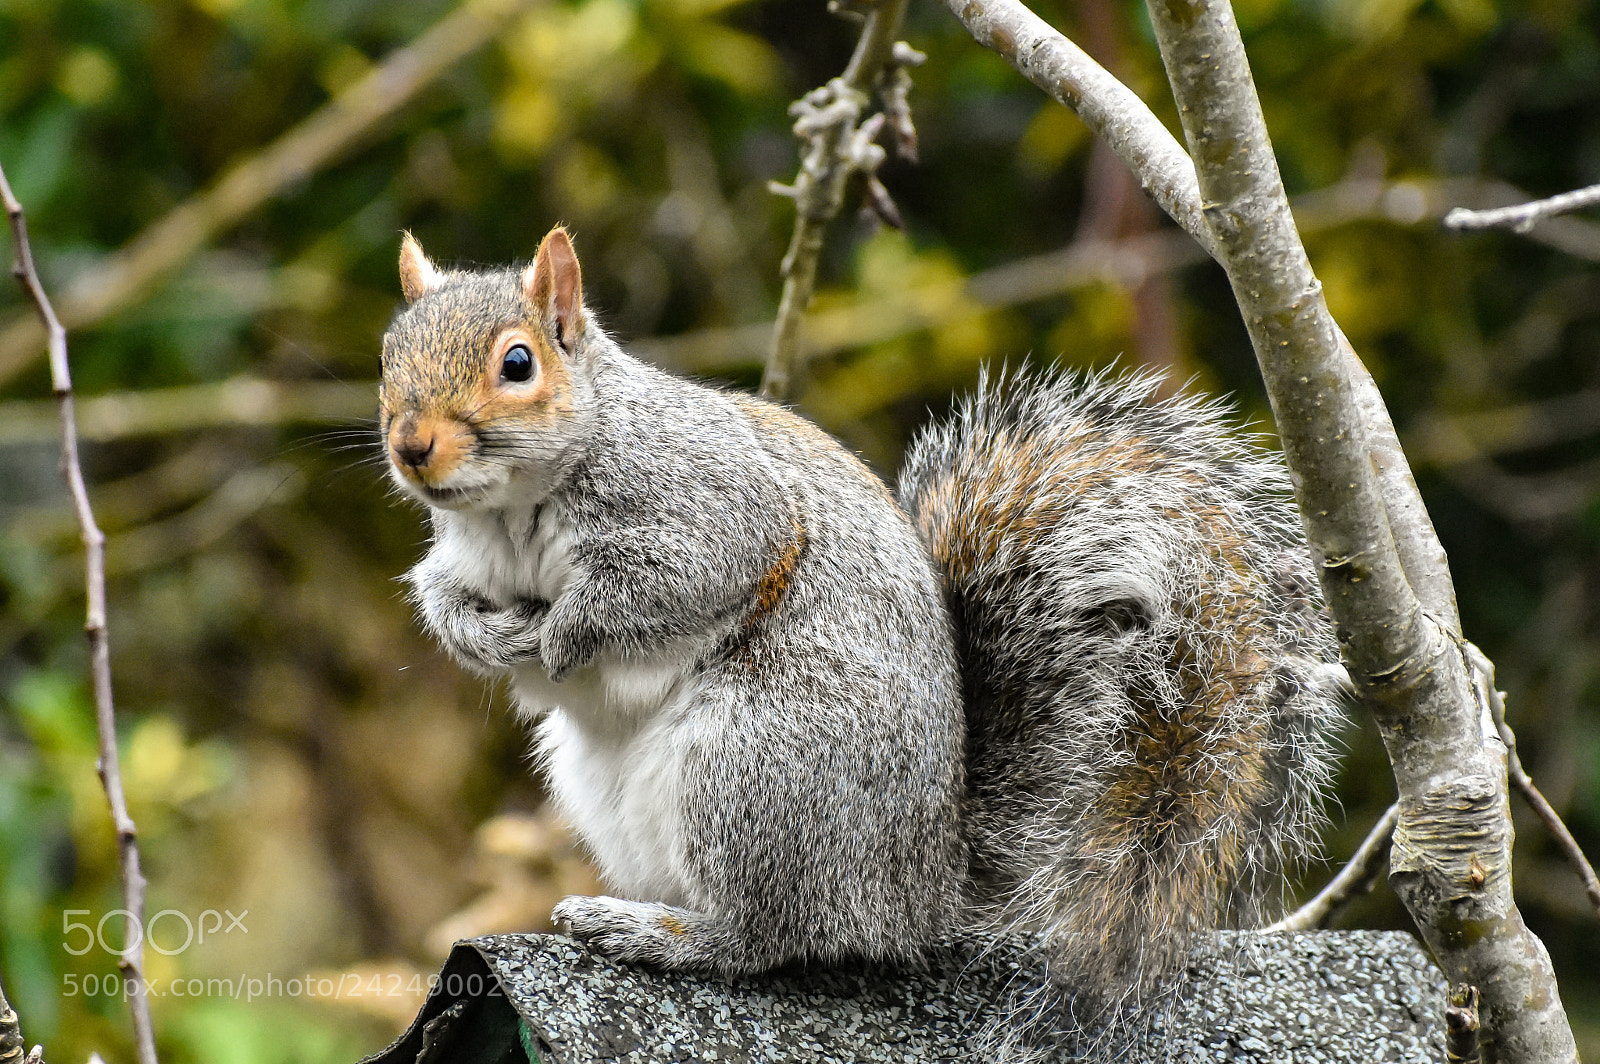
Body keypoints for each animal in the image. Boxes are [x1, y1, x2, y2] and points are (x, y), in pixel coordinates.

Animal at [379, 225, 1344, 1050]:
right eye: (388, 359)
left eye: (517, 362)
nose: (411, 446)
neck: (511, 511)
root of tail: (924, 889)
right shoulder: (463, 554)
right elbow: (440, 594)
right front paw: (482, 636)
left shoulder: (711, 505)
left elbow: (684, 573)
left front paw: (566, 635)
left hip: (757, 763)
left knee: (765, 937)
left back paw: (657, 932)